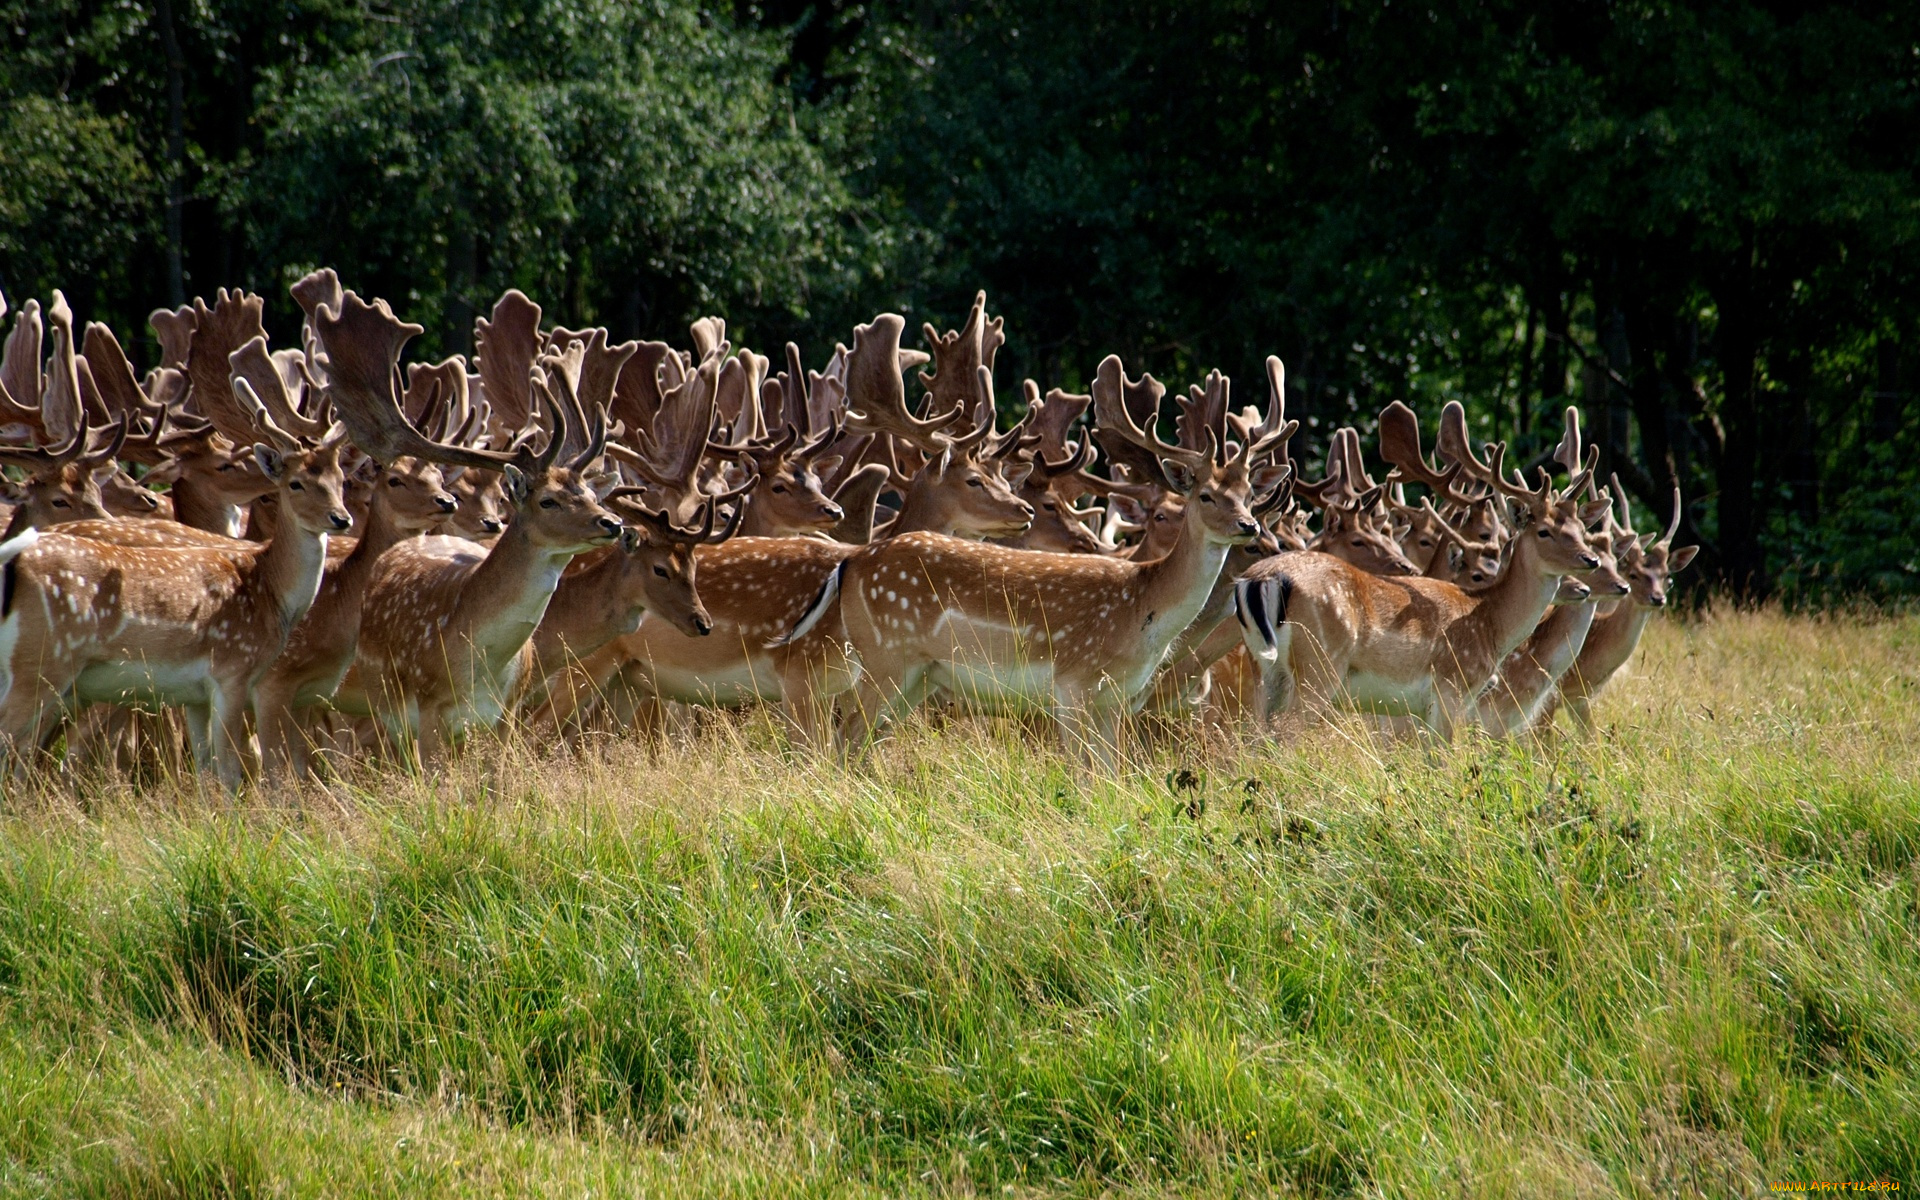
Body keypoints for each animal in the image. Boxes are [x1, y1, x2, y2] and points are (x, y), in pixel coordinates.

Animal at [817, 352, 1289, 762]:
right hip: (886, 656)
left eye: (1248, 494)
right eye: (1206, 495)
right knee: (846, 733)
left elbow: (1111, 772)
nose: (1250, 527)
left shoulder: (1115, 699)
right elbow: (1084, 775)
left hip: (918, 675)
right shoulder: (1072, 683)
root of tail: (849, 564)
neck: (1143, 609)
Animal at [1234, 403, 1609, 739]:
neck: (1490, 622)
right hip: (1320, 665)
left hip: (1264, 670)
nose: (1590, 560)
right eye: (1544, 531)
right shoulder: (1451, 690)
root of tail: (1259, 580)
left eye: (1580, 527)